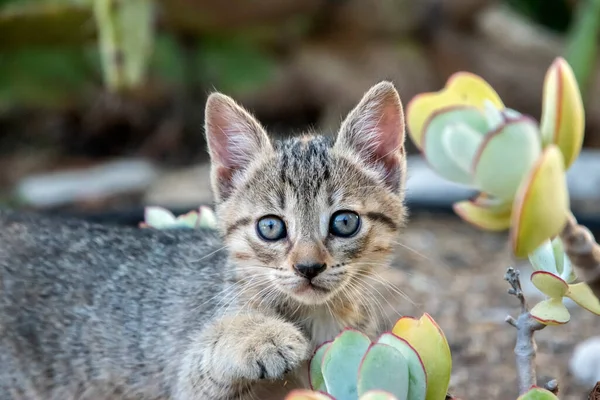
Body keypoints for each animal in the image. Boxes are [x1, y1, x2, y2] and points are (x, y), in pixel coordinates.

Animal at [0, 79, 408, 398]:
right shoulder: (188, 383)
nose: (308, 267)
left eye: (344, 222)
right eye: (271, 227)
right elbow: (211, 344)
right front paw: (259, 335)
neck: (317, 317)